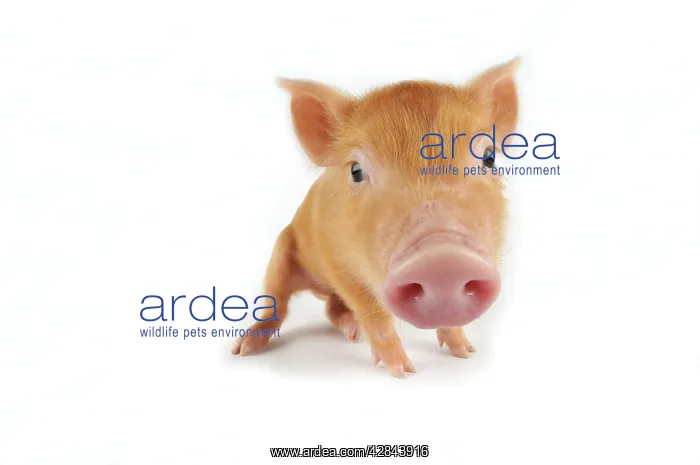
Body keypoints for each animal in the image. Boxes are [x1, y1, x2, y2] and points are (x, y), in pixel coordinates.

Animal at [232, 57, 521, 377]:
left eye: (489, 158)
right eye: (356, 170)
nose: (444, 260)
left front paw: (466, 353)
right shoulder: (337, 261)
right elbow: (374, 314)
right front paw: (403, 371)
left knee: (332, 309)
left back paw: (351, 332)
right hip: (282, 249)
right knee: (276, 303)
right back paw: (243, 349)